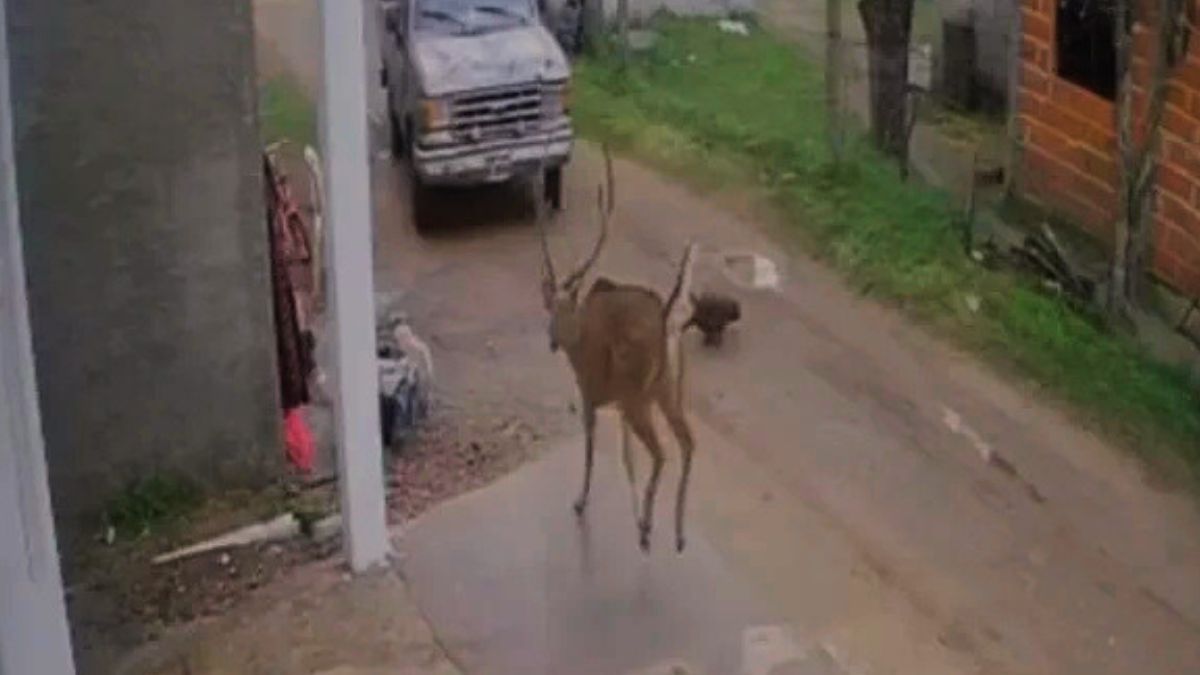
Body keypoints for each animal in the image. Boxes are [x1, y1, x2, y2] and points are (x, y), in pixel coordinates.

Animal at [537, 145, 698, 553]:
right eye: (548, 311)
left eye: (564, 311)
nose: (552, 341)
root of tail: (667, 320)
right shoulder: (615, 404)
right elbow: (626, 459)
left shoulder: (591, 392)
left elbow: (592, 449)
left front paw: (580, 501)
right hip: (668, 389)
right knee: (688, 443)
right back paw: (677, 533)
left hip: (638, 395)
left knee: (661, 452)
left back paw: (647, 529)